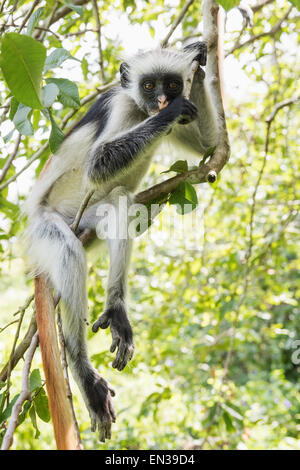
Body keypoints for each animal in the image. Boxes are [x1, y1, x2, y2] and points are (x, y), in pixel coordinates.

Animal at [22, 42, 216, 442]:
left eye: (173, 84)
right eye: (149, 86)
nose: (162, 100)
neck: (142, 110)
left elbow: (209, 145)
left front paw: (199, 58)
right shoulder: (124, 107)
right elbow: (97, 164)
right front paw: (172, 111)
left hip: (89, 223)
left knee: (122, 205)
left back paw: (116, 310)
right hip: (50, 219)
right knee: (69, 248)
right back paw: (81, 368)